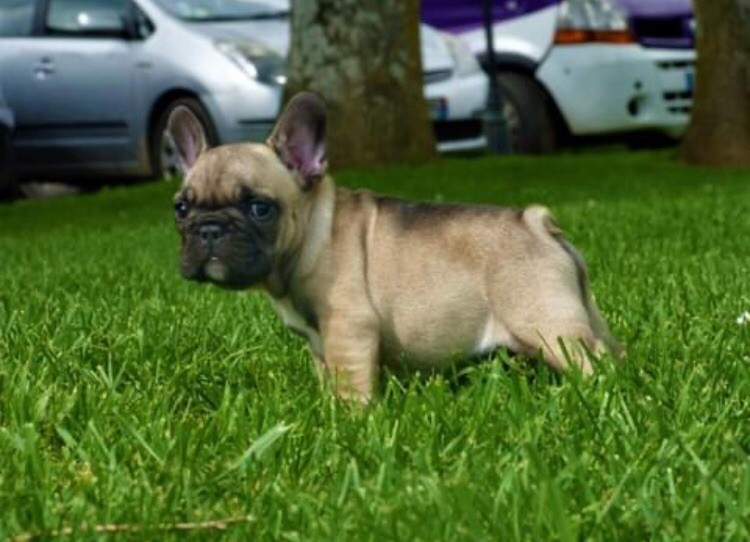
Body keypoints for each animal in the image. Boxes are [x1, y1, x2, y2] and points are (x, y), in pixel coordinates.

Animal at [170, 92, 621, 401]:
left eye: (259, 208)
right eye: (181, 208)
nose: (209, 229)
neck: (315, 231)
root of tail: (537, 222)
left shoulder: (349, 331)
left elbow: (351, 387)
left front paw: (350, 424)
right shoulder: (321, 346)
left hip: (549, 323)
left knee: (590, 360)